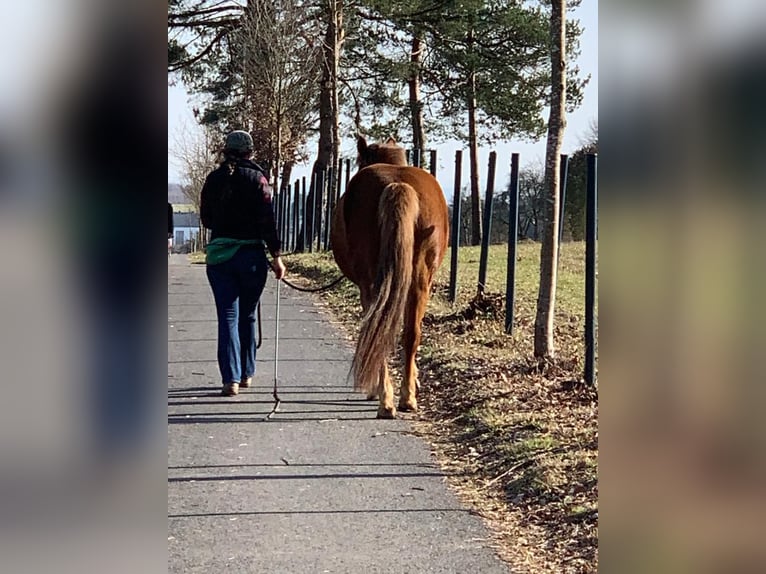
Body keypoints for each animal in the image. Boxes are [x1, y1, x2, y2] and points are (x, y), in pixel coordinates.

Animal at [330, 136, 450, 418]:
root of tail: (398, 184)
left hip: (374, 283)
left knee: (379, 328)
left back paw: (385, 399)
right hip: (419, 280)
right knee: (409, 333)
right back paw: (404, 398)